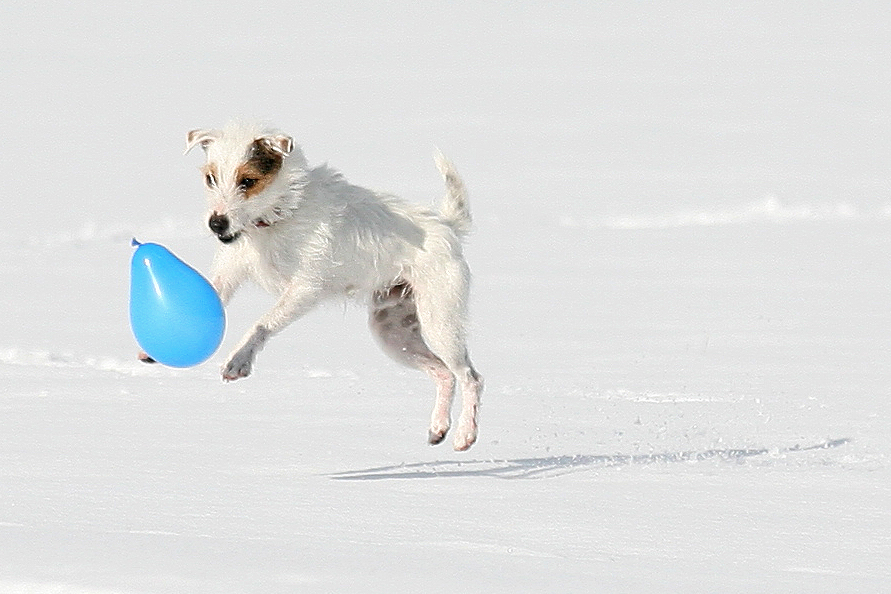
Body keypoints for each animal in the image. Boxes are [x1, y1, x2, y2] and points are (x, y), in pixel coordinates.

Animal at [174, 121, 480, 448]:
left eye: (248, 181)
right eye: (211, 178)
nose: (216, 223)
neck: (278, 216)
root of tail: (446, 225)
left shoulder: (305, 289)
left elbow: (263, 323)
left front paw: (238, 360)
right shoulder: (229, 272)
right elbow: (212, 293)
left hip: (440, 322)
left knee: (470, 377)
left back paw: (466, 433)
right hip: (393, 333)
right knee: (443, 373)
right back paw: (439, 427)